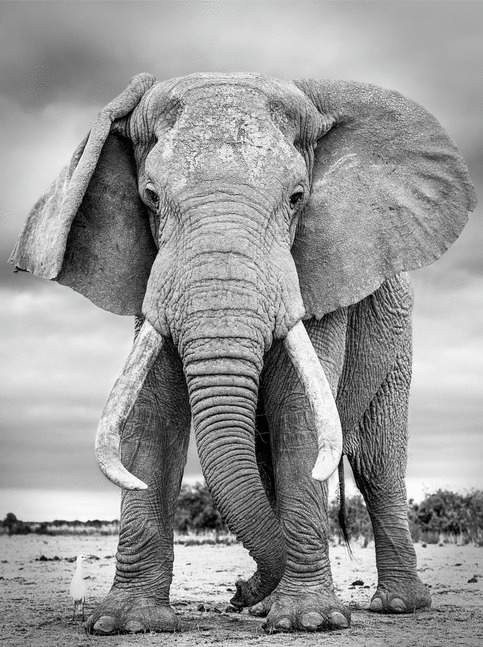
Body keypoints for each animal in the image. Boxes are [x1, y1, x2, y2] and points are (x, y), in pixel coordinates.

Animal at [10, 71, 476, 632]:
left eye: (297, 198)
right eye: (151, 197)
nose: (235, 591)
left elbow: (298, 413)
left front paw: (309, 621)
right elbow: (150, 416)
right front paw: (126, 623)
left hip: (397, 336)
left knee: (378, 463)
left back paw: (396, 605)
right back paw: (266, 606)